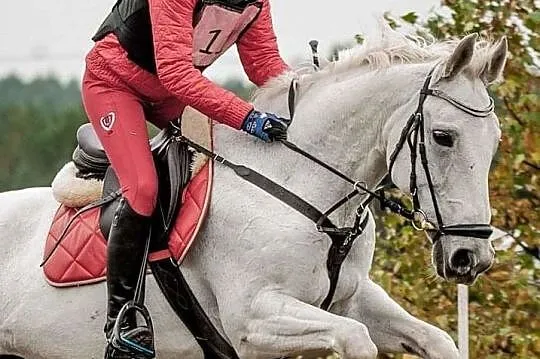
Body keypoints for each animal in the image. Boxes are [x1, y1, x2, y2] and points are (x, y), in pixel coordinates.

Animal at [0, 28, 506, 359]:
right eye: (443, 137)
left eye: (496, 140)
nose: (471, 258)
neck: (301, 188)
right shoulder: (254, 319)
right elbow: (355, 340)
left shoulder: (354, 298)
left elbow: (437, 339)